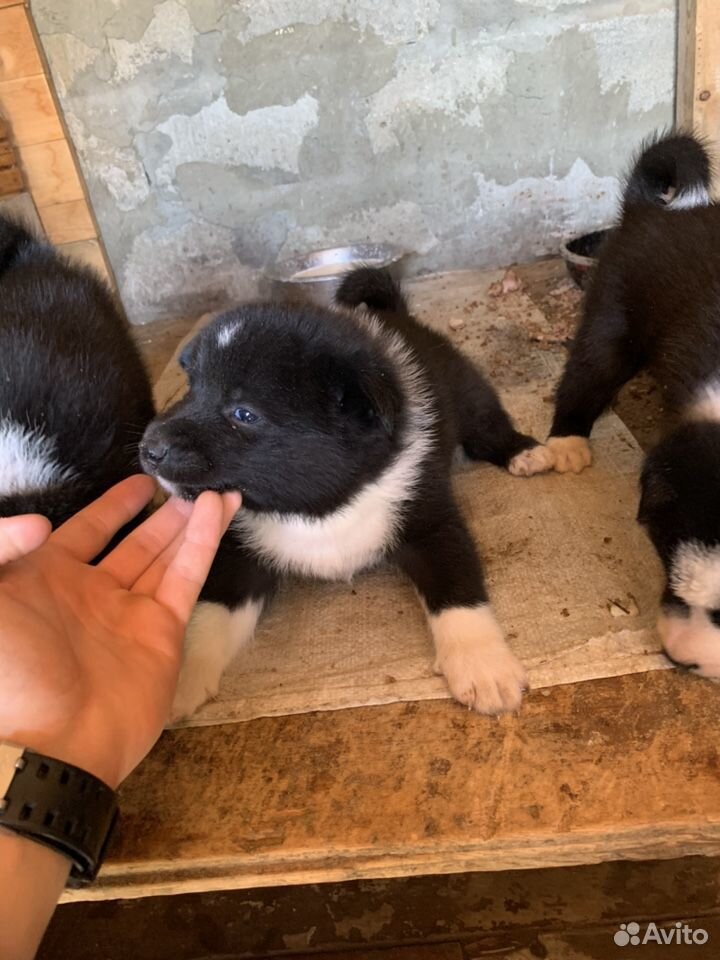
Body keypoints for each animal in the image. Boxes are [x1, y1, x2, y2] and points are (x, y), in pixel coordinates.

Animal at [141, 266, 556, 716]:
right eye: (190, 387)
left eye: (243, 414)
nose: (148, 449)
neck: (319, 508)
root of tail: (398, 314)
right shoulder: (238, 551)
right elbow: (211, 610)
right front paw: (177, 674)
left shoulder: (429, 516)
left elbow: (457, 586)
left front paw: (483, 664)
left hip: (467, 392)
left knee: (486, 424)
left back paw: (526, 452)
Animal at [528, 131, 720, 680]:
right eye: (665, 554)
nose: (682, 659)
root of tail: (651, 210)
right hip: (613, 319)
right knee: (586, 376)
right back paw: (566, 444)